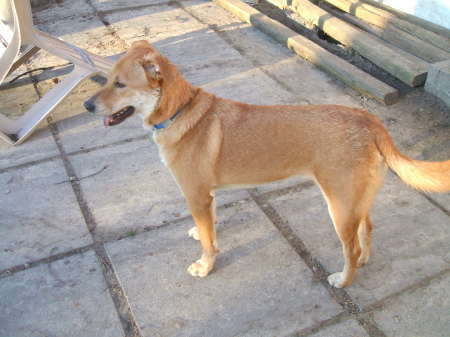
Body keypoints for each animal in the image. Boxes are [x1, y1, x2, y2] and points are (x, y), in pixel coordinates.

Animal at [84, 39, 450, 286]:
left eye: (120, 83)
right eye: (107, 77)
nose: (87, 105)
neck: (179, 111)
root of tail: (371, 120)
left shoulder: (196, 195)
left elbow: (208, 244)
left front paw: (205, 266)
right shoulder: (208, 197)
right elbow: (210, 229)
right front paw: (204, 235)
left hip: (340, 206)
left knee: (352, 249)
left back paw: (343, 280)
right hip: (357, 202)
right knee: (368, 232)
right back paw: (365, 264)